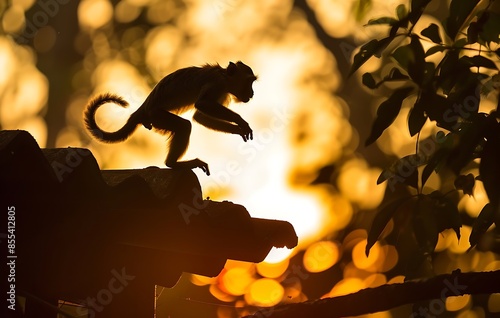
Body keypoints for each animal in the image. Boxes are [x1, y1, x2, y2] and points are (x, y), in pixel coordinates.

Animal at [83, 60, 258, 175]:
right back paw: (173, 163)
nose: (252, 93)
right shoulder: (217, 84)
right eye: (249, 82)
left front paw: (237, 129)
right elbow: (202, 104)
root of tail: (144, 107)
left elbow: (200, 116)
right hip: (156, 115)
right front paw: (241, 121)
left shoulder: (221, 92)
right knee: (184, 126)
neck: (224, 75)